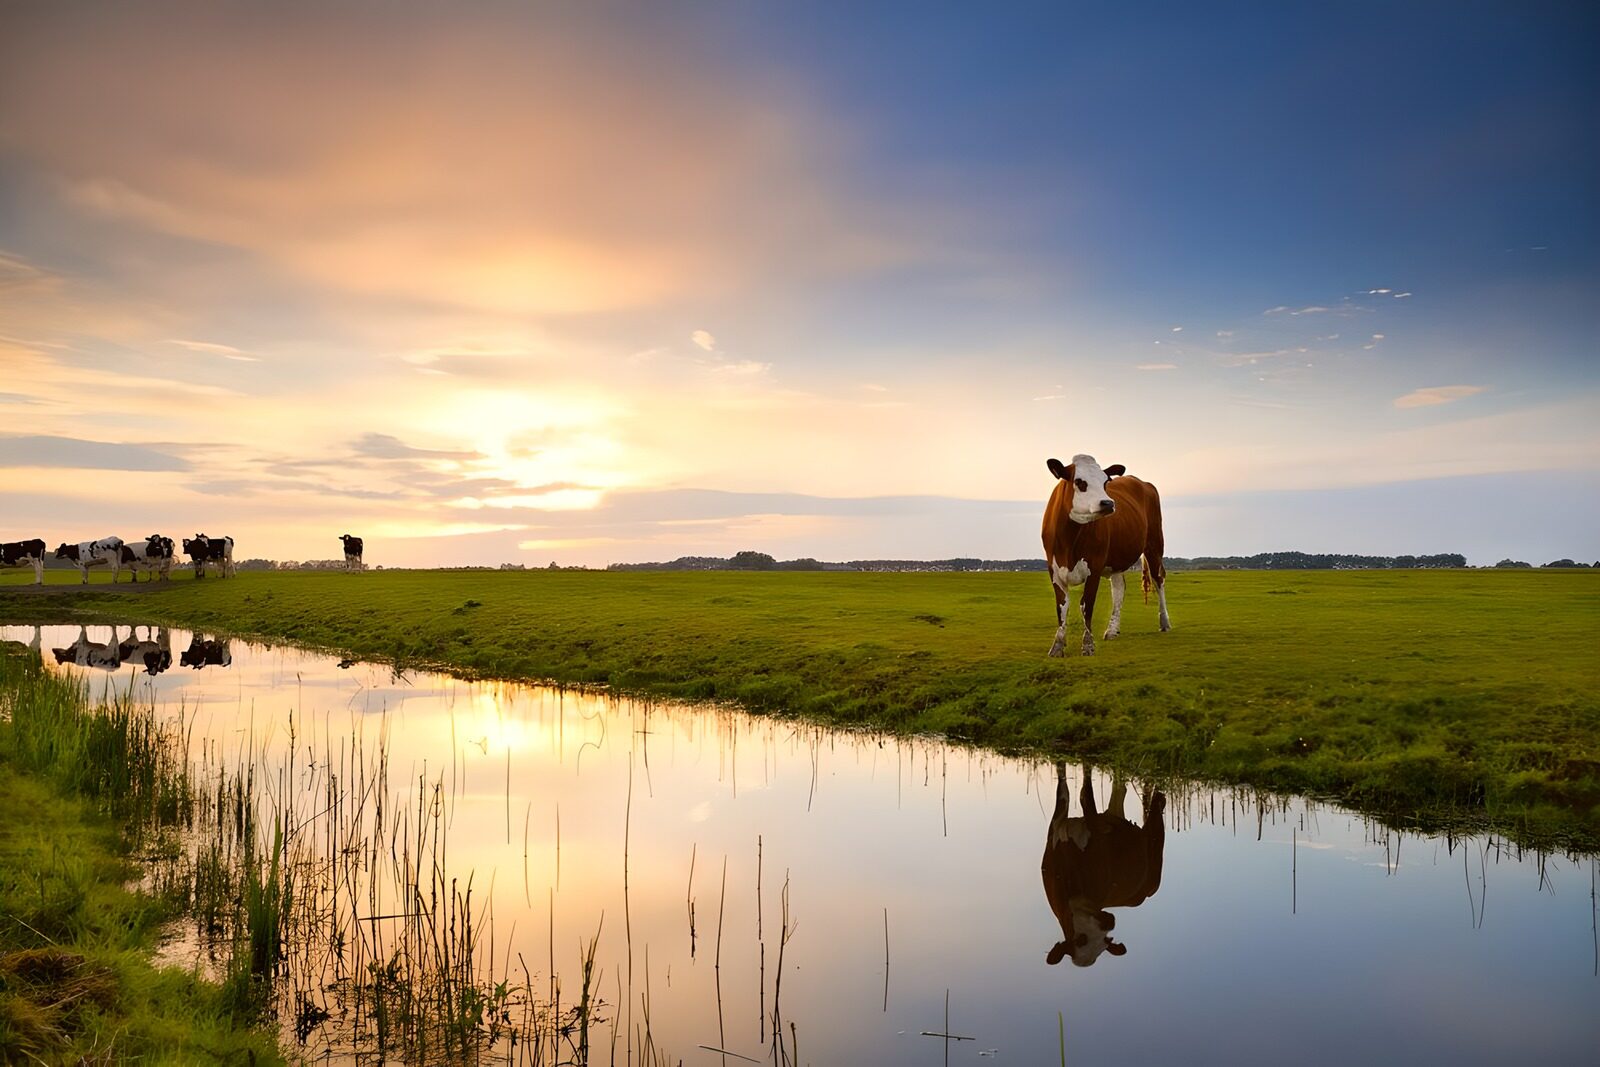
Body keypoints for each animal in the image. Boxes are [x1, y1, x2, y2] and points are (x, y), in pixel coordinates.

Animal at [1041, 454, 1169, 657]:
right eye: (1079, 482)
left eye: (1105, 482)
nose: (1108, 503)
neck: (1069, 538)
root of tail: (1141, 482)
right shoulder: (1053, 570)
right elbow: (1062, 606)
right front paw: (1057, 646)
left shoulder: (1094, 566)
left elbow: (1086, 605)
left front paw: (1088, 645)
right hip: (1117, 559)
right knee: (1119, 589)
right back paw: (1112, 630)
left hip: (1154, 544)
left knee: (1159, 579)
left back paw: (1164, 622)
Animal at [1042, 765, 1166, 968]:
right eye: (1080, 940)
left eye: (1105, 941)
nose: (1109, 923)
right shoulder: (1056, 828)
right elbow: (1064, 788)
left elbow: (1085, 795)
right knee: (1120, 789)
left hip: (1155, 853)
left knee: (1155, 816)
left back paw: (1160, 798)